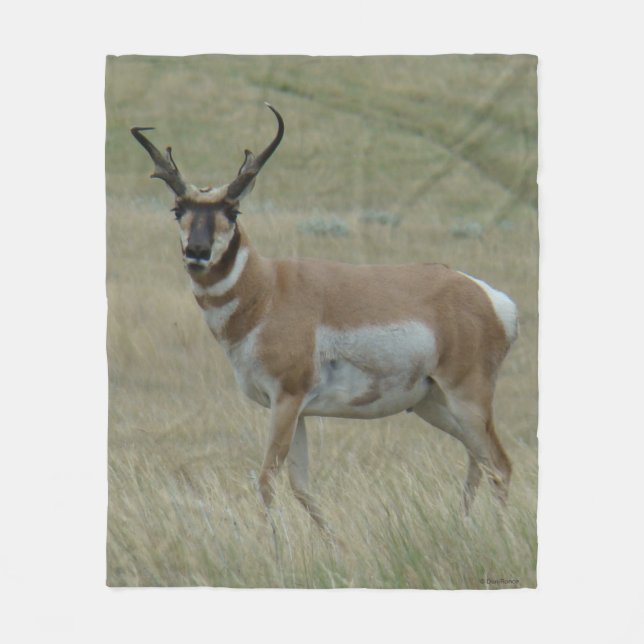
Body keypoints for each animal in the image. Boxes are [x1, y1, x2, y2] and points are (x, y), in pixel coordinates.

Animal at [131, 103, 518, 534]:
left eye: (232, 210)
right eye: (178, 209)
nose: (197, 251)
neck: (268, 289)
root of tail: (488, 296)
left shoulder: (286, 400)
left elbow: (267, 479)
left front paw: (274, 543)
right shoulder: (296, 410)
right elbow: (301, 486)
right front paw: (334, 541)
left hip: (467, 397)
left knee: (500, 465)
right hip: (433, 404)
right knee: (478, 460)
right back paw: (465, 525)